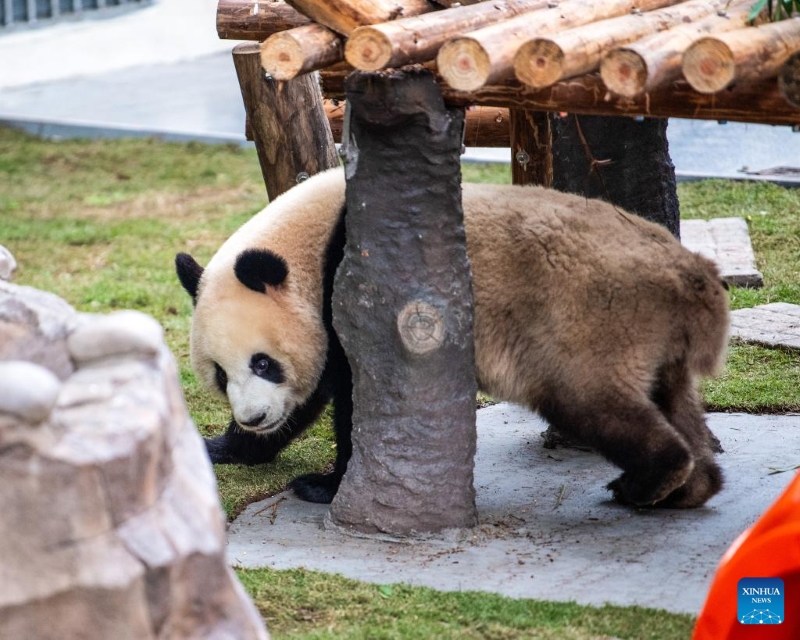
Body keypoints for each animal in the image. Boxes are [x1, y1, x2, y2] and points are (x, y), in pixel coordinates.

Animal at [176, 167, 729, 509]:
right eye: (220, 374)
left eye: (263, 363)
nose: (254, 417)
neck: (312, 238)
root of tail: (692, 280)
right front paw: (223, 447)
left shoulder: (361, 292)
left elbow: (357, 399)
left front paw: (323, 486)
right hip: (654, 342)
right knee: (674, 401)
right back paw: (690, 488)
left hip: (593, 321)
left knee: (595, 403)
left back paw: (646, 481)